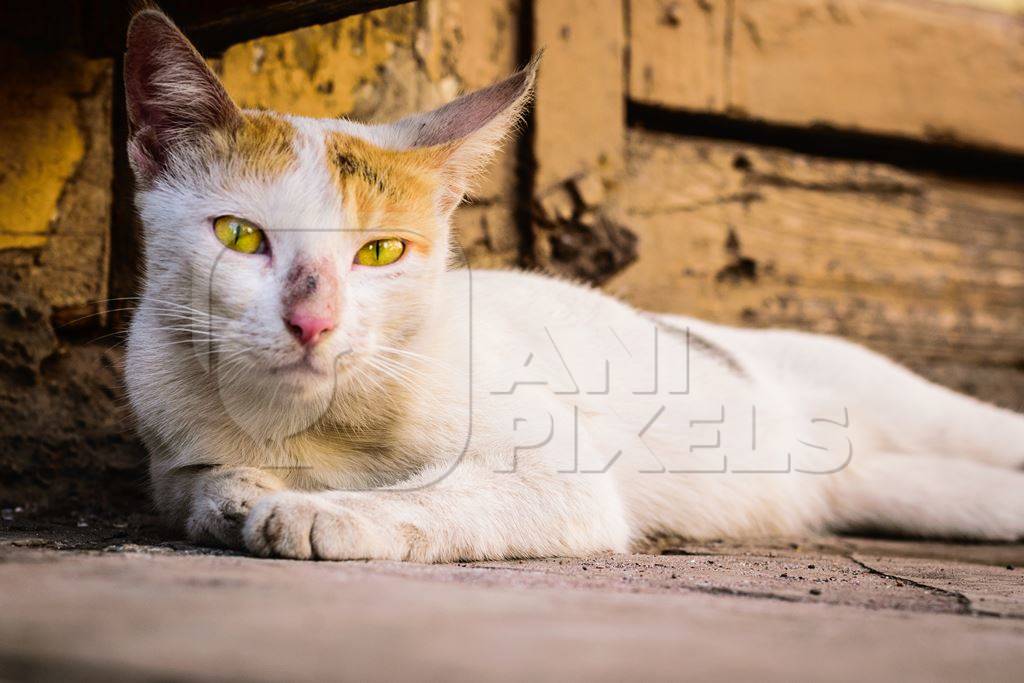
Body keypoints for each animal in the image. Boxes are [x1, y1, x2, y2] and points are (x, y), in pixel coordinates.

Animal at [123, 10, 1019, 565]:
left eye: (380, 251)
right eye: (242, 236)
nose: (313, 320)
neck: (307, 428)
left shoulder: (560, 474)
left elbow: (444, 492)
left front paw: (324, 511)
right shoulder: (172, 448)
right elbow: (201, 484)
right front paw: (245, 495)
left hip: (900, 400)